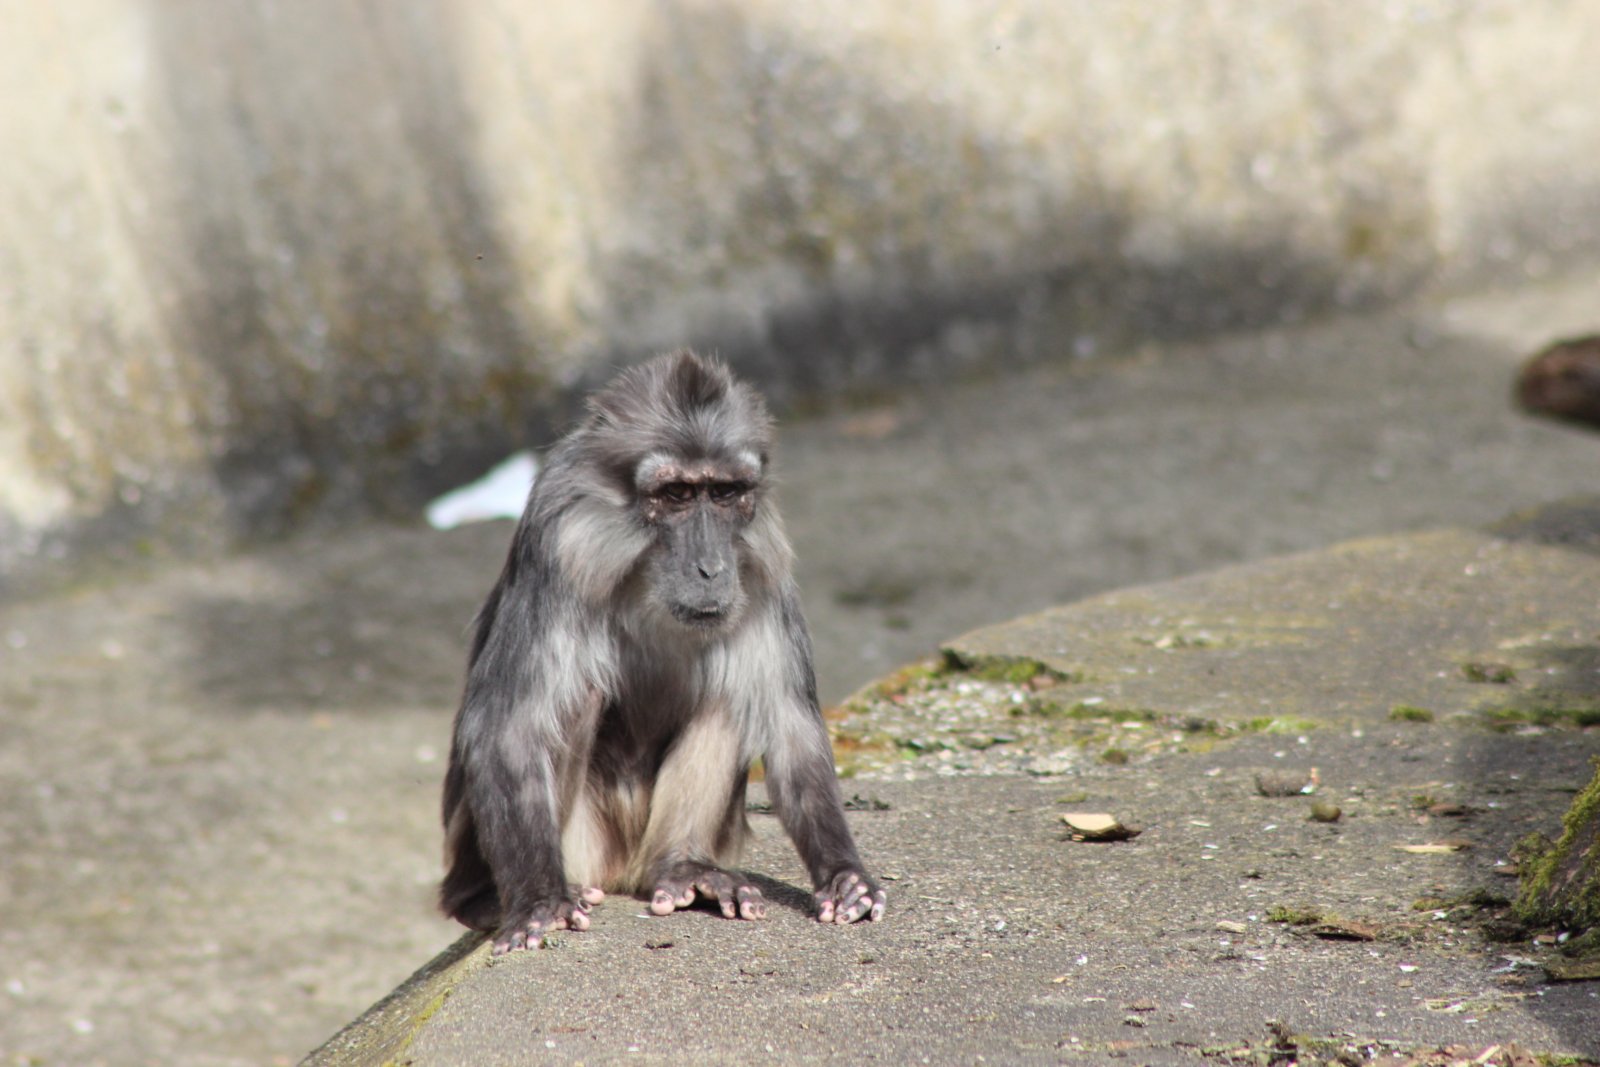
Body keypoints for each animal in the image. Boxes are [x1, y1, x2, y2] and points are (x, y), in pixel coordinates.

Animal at [438, 348, 889, 953]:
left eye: (724, 493)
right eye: (675, 495)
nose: (710, 568)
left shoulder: (762, 566)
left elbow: (791, 725)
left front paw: (843, 876)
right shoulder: (558, 543)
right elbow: (509, 729)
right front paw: (538, 901)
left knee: (729, 692)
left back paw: (683, 868)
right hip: (584, 845)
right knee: (576, 696)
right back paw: (486, 899)